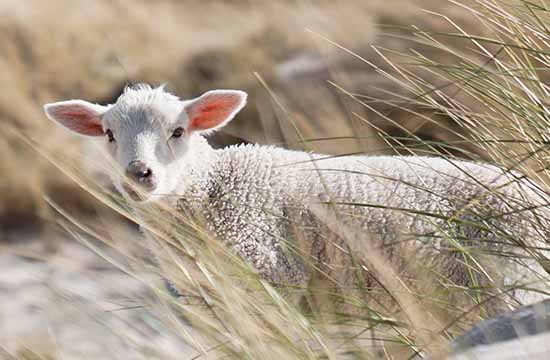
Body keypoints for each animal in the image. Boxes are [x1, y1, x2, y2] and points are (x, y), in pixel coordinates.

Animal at [44, 83, 550, 318]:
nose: (139, 174)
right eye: (109, 134)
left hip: (511, 282)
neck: (213, 189)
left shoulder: (273, 276)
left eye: (179, 131)